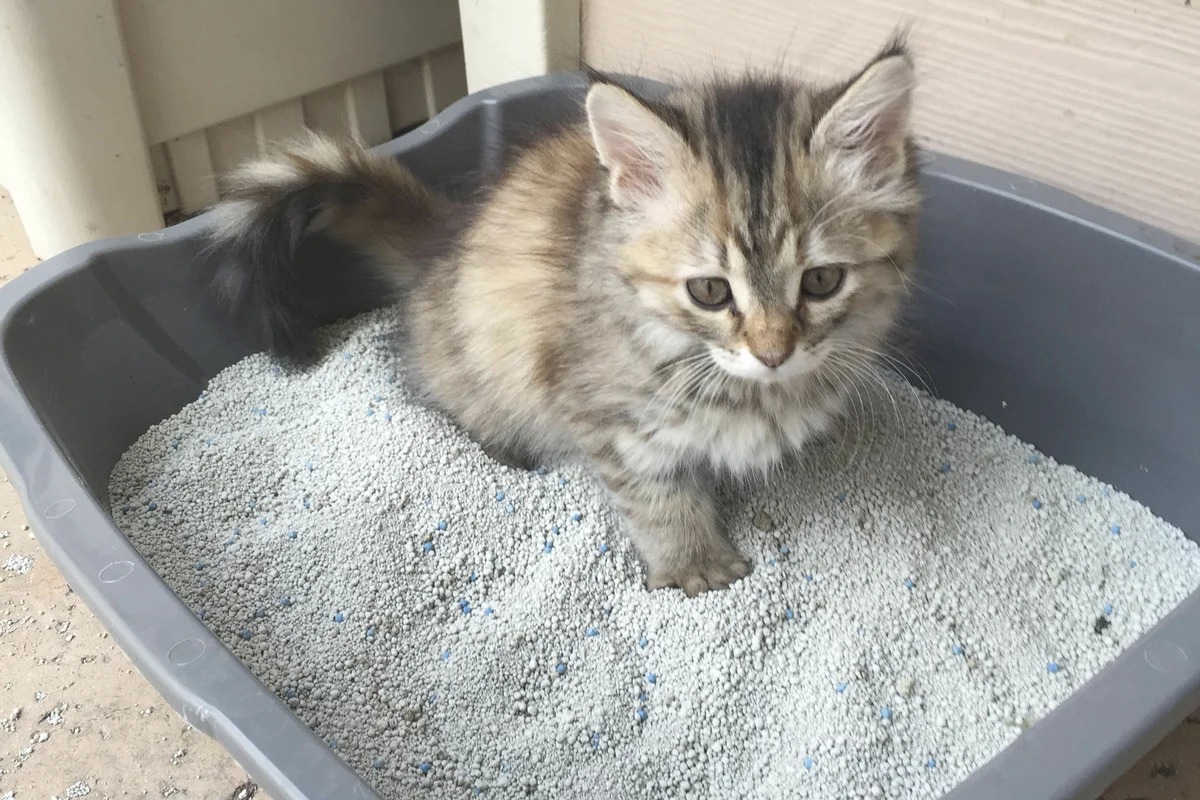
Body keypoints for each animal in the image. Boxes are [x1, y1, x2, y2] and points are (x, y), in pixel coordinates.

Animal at [208, 38, 916, 599]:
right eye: (711, 291)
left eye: (821, 281)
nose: (773, 353)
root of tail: (442, 240)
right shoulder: (606, 412)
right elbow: (656, 496)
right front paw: (694, 564)